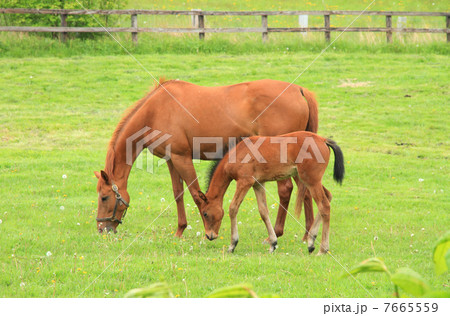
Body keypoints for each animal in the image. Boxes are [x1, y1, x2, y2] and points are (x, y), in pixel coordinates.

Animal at [94, 78, 320, 237]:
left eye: (104, 197)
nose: (102, 228)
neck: (156, 110)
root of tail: (299, 90)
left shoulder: (182, 158)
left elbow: (195, 194)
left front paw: (207, 228)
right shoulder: (171, 160)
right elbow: (178, 193)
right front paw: (180, 230)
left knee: (286, 190)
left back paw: (278, 232)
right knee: (305, 190)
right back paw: (306, 234)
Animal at [198, 131, 344, 254]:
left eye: (205, 213)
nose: (209, 235)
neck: (237, 153)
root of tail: (323, 140)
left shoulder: (245, 182)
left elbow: (233, 208)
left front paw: (232, 244)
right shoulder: (258, 184)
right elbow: (263, 211)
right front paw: (273, 244)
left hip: (311, 181)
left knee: (324, 205)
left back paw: (323, 249)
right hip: (310, 180)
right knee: (328, 196)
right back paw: (311, 242)